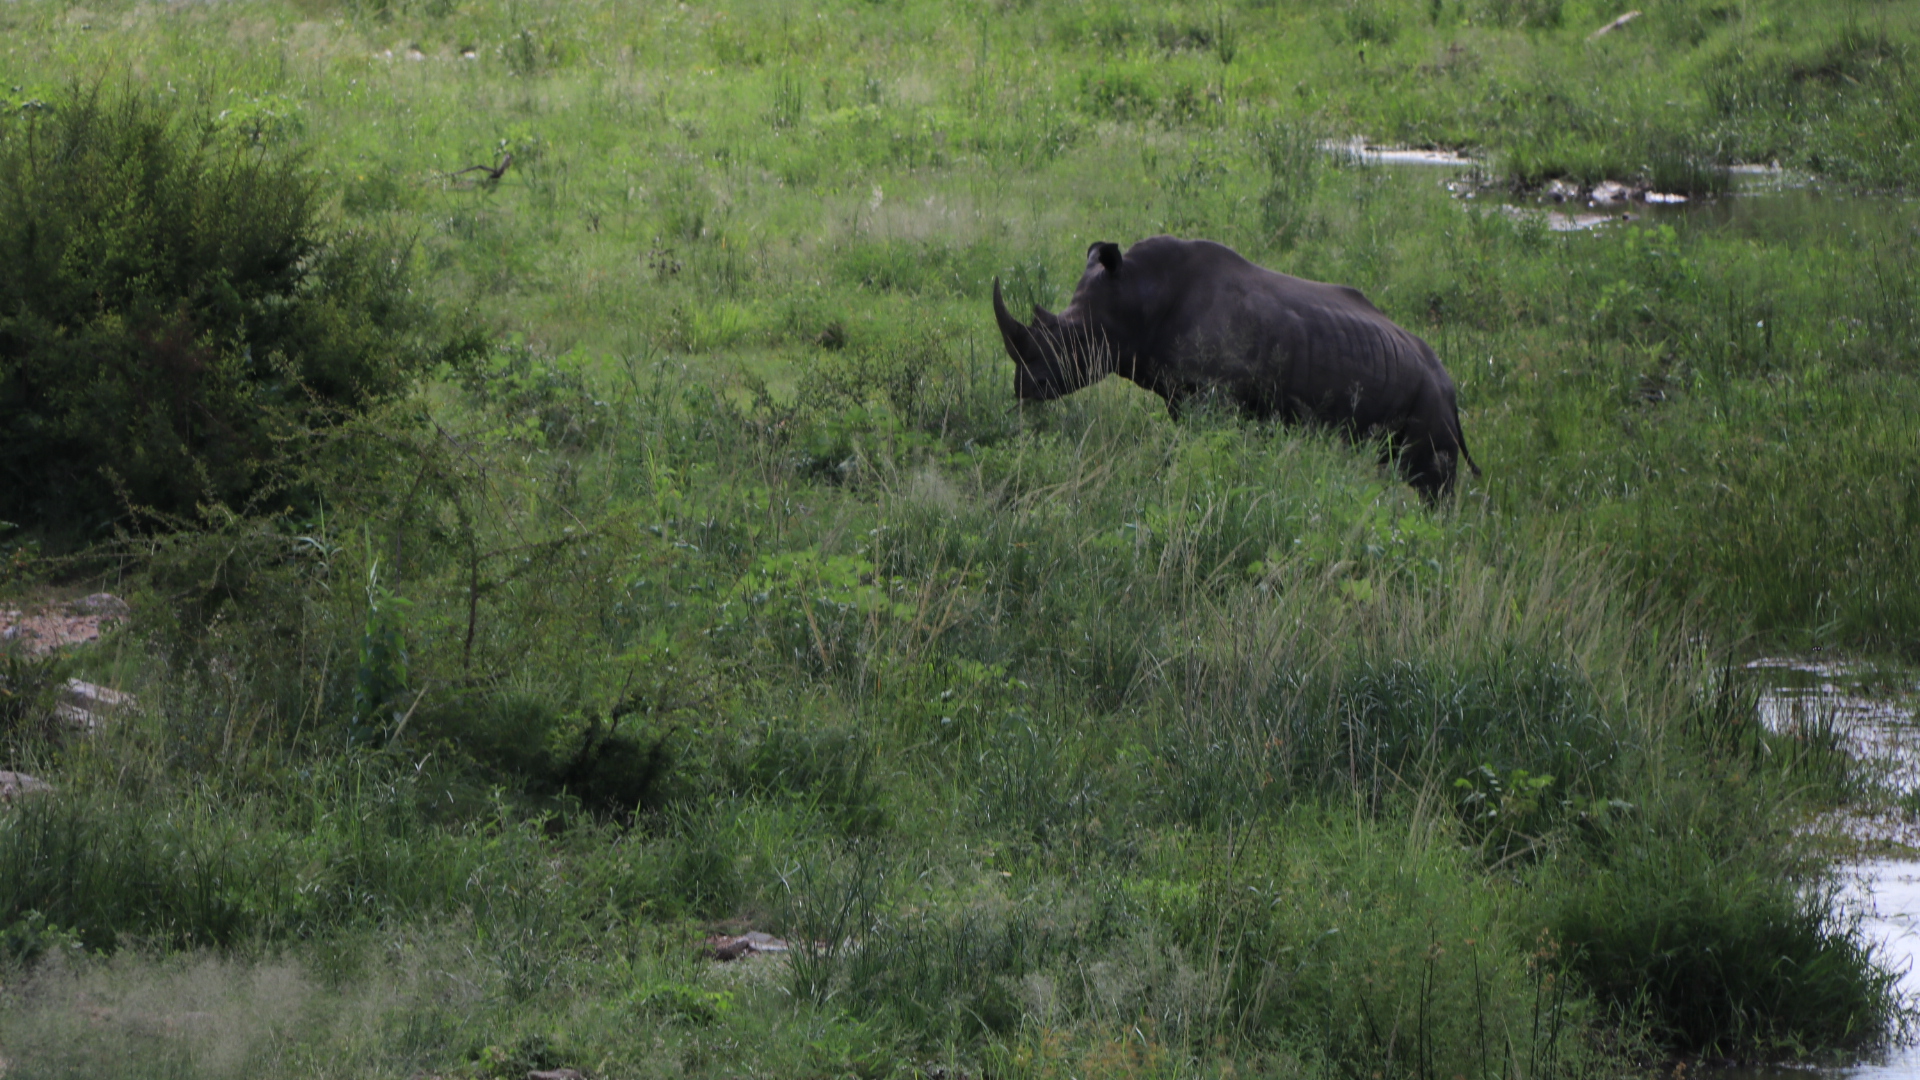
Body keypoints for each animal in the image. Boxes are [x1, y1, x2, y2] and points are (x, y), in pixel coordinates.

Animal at [998, 235, 1474, 495]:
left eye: (1072, 341)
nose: (1023, 387)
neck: (1138, 292)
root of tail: (1451, 385)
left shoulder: (1217, 394)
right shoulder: (1184, 394)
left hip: (1431, 399)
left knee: (1431, 482)